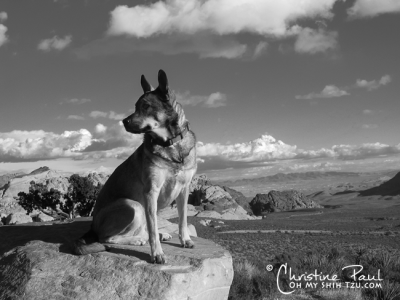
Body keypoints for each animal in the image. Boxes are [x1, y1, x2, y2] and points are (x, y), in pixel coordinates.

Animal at [74, 69, 198, 264]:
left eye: (146, 106)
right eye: (135, 106)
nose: (123, 122)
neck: (170, 144)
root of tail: (92, 226)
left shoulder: (184, 189)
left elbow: (183, 219)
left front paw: (185, 240)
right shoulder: (151, 192)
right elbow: (153, 226)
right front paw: (157, 253)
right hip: (134, 206)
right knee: (108, 238)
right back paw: (139, 239)